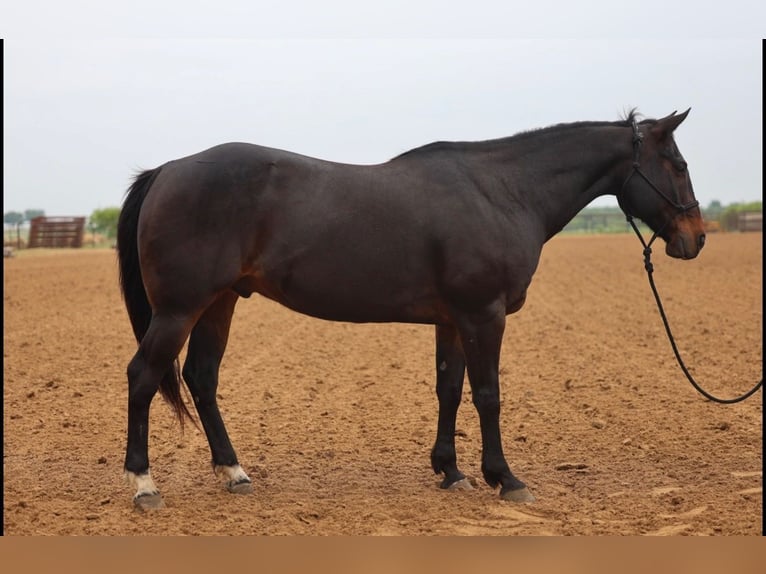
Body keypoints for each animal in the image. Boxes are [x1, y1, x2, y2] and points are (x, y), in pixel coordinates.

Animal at [117, 109, 705, 510]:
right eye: (677, 164)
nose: (695, 238)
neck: (502, 192)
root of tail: (168, 170)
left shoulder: (453, 320)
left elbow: (449, 389)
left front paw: (451, 471)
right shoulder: (483, 315)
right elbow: (487, 395)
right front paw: (505, 478)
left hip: (218, 304)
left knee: (202, 377)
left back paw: (233, 472)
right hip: (179, 309)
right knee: (143, 375)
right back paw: (144, 483)